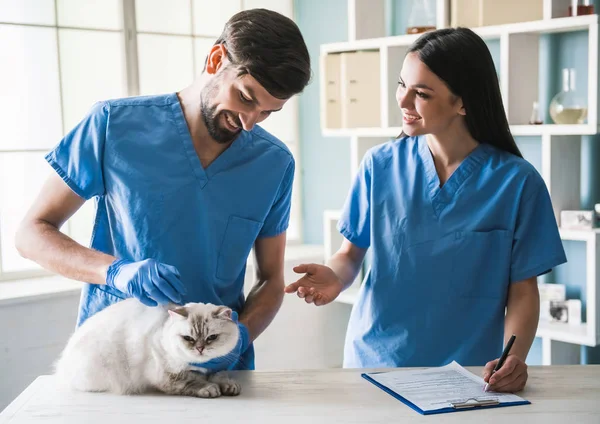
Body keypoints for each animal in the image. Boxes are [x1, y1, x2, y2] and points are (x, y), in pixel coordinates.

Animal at [54, 298, 241, 398]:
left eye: (212, 338)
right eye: (188, 338)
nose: (200, 349)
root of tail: (61, 366)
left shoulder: (216, 366)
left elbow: (219, 375)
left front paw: (228, 386)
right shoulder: (168, 375)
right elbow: (192, 381)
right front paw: (209, 388)